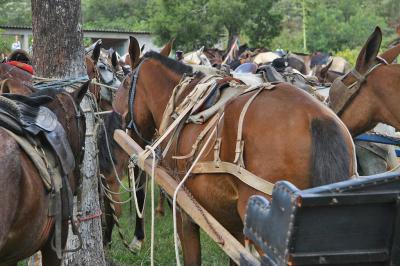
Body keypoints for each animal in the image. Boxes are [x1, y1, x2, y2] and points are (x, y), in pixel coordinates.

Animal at [111, 36, 356, 264]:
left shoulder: (185, 213)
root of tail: (316, 117)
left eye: (125, 81)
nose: (116, 117)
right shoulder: (234, 226)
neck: (181, 100)